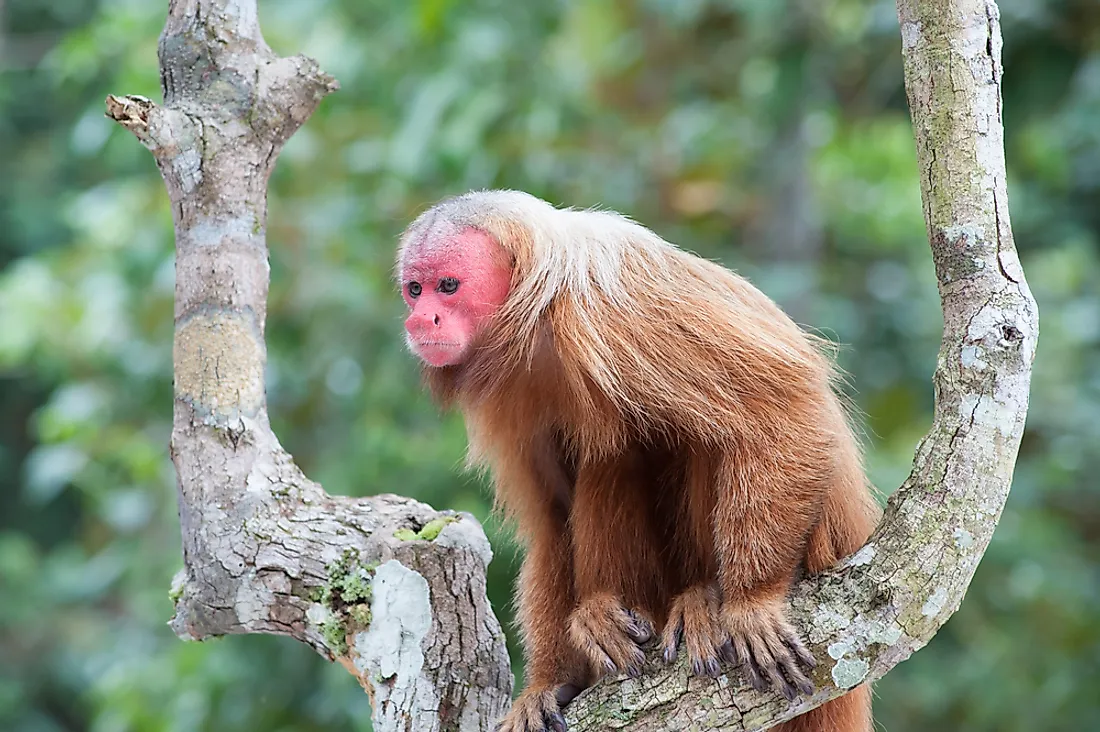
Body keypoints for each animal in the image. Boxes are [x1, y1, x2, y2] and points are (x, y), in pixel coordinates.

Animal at [396, 189, 875, 730]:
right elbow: (552, 516)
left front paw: (753, 601)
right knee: (613, 457)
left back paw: (705, 596)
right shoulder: (511, 397)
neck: (534, 315)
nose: (421, 319)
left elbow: (784, 408)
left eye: (448, 287)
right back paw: (606, 615)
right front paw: (551, 683)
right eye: (415, 290)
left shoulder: (615, 311)